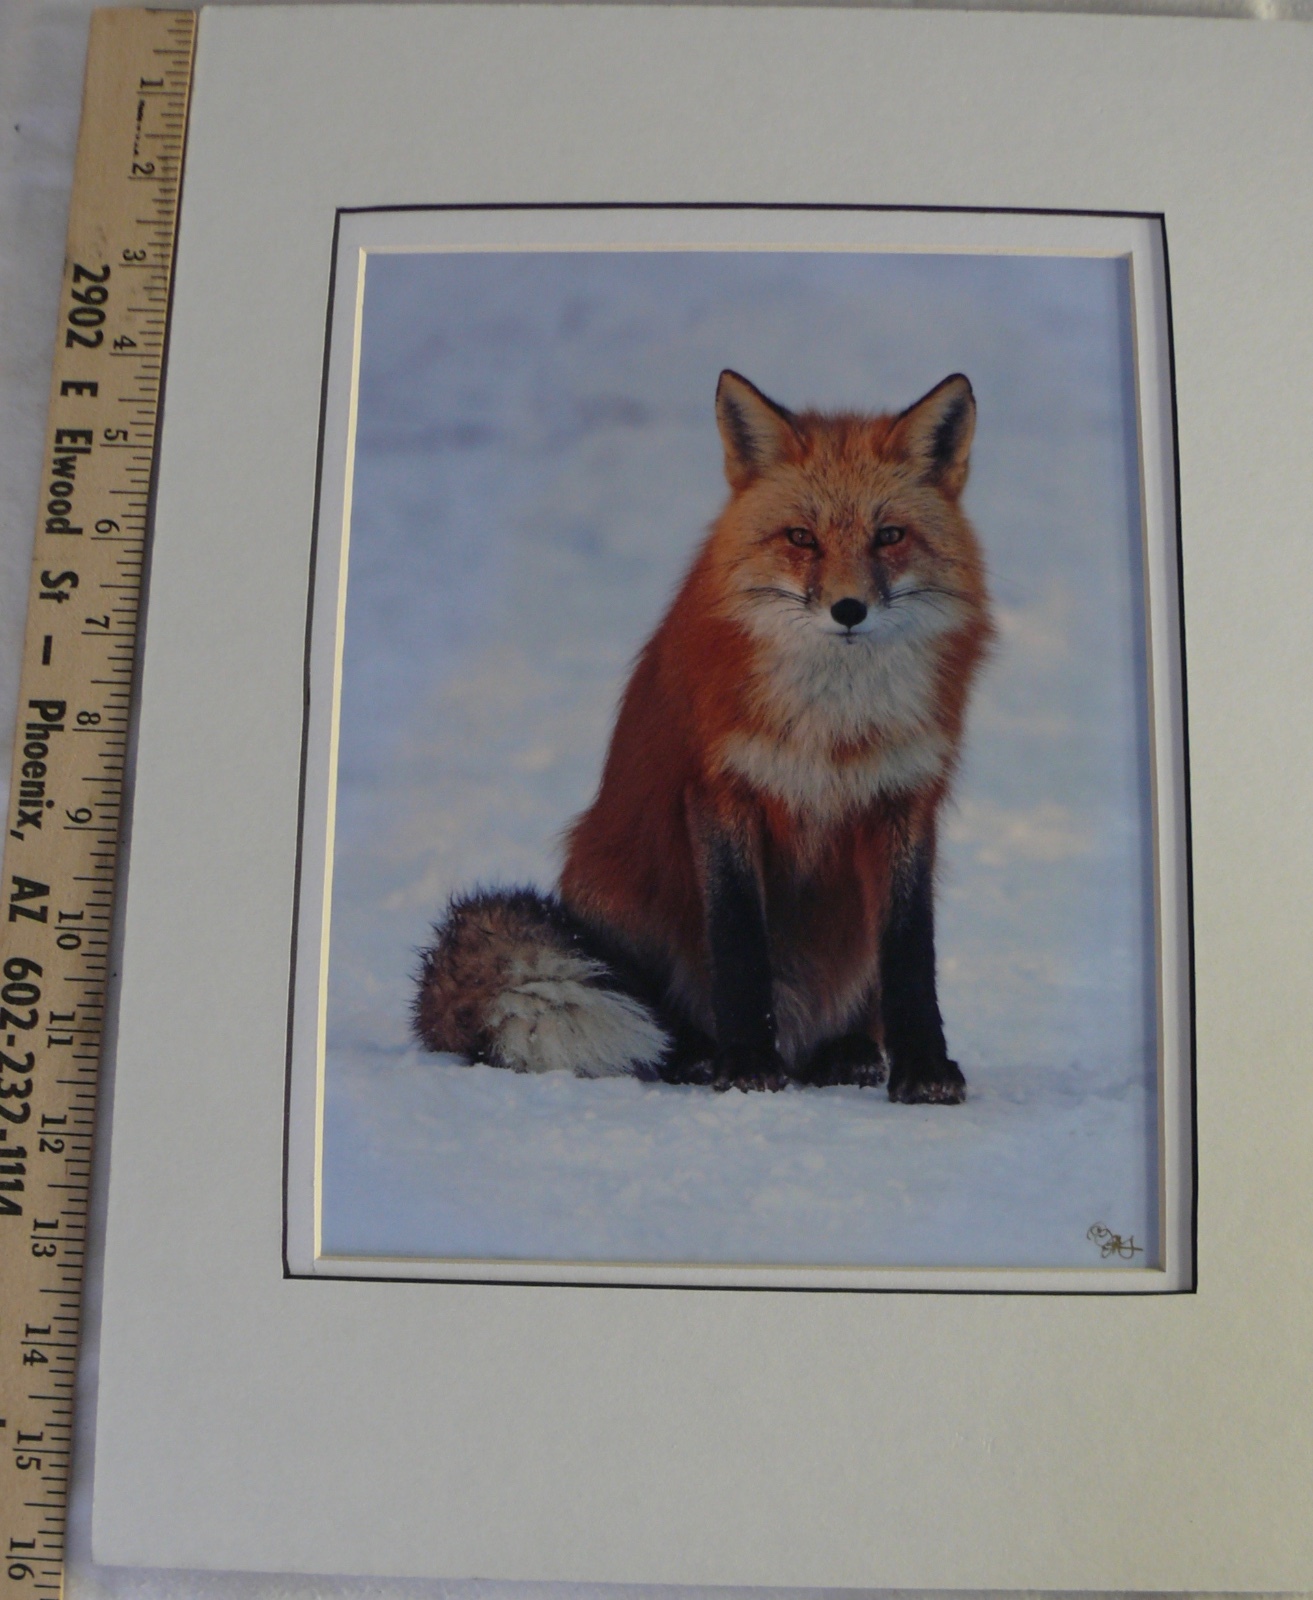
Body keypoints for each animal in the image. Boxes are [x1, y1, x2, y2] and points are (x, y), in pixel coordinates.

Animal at [414, 369, 993, 1100]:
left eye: (889, 535)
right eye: (801, 537)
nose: (848, 609)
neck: (832, 726)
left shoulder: (904, 801)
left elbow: (911, 954)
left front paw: (924, 1068)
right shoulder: (721, 791)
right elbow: (739, 944)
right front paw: (745, 1064)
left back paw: (848, 1053)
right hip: (619, 893)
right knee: (659, 1016)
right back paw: (697, 1055)